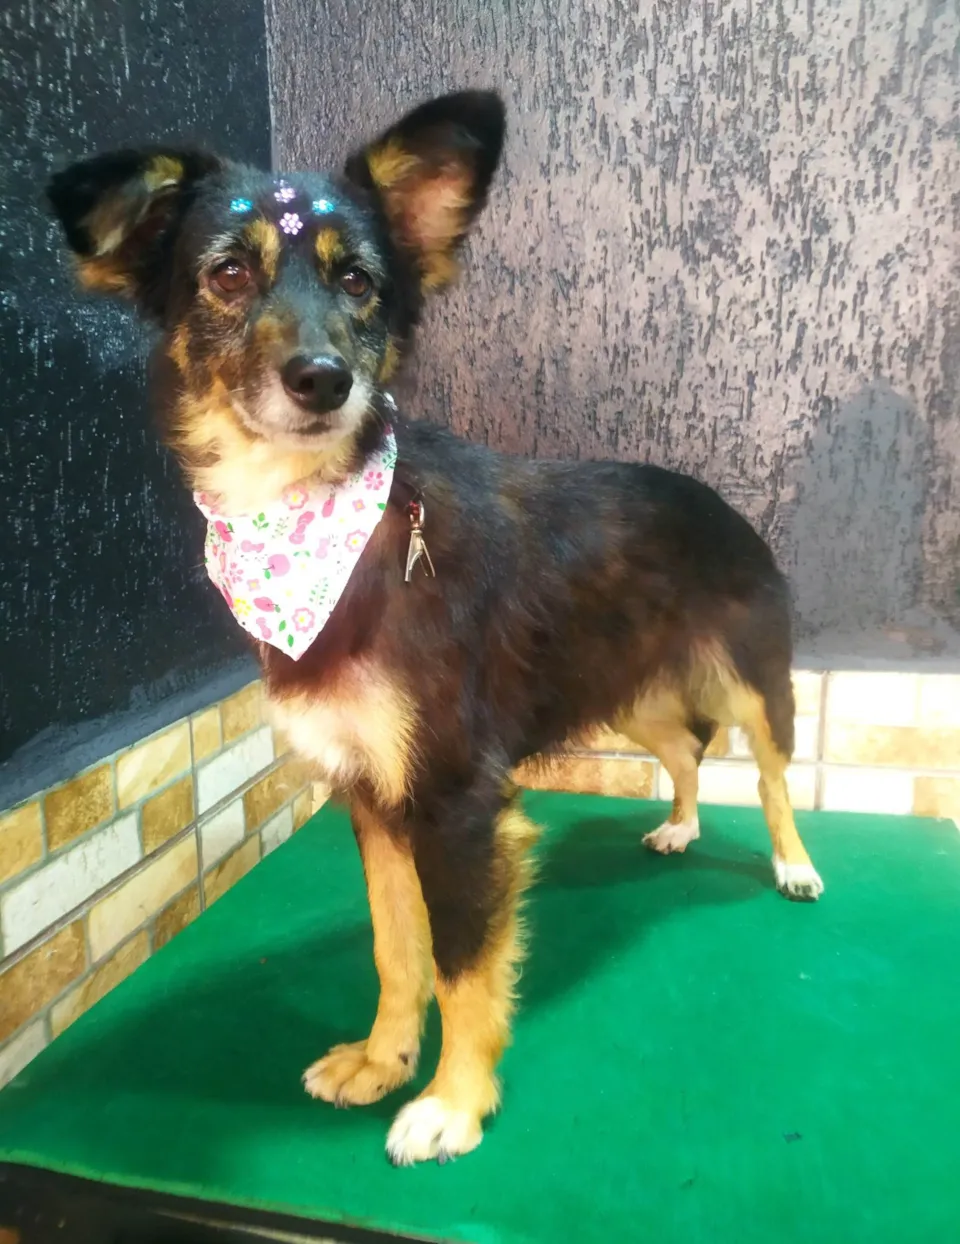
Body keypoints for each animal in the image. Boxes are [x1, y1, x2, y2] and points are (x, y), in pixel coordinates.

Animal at [47, 89, 822, 1166]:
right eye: (229, 272)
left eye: (358, 280)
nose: (322, 378)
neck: (321, 527)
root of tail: (715, 498)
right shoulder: (372, 794)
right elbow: (395, 944)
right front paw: (383, 1059)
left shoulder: (458, 802)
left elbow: (460, 965)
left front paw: (454, 1101)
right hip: (622, 687)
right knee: (685, 748)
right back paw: (678, 823)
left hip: (753, 676)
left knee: (774, 769)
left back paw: (794, 863)